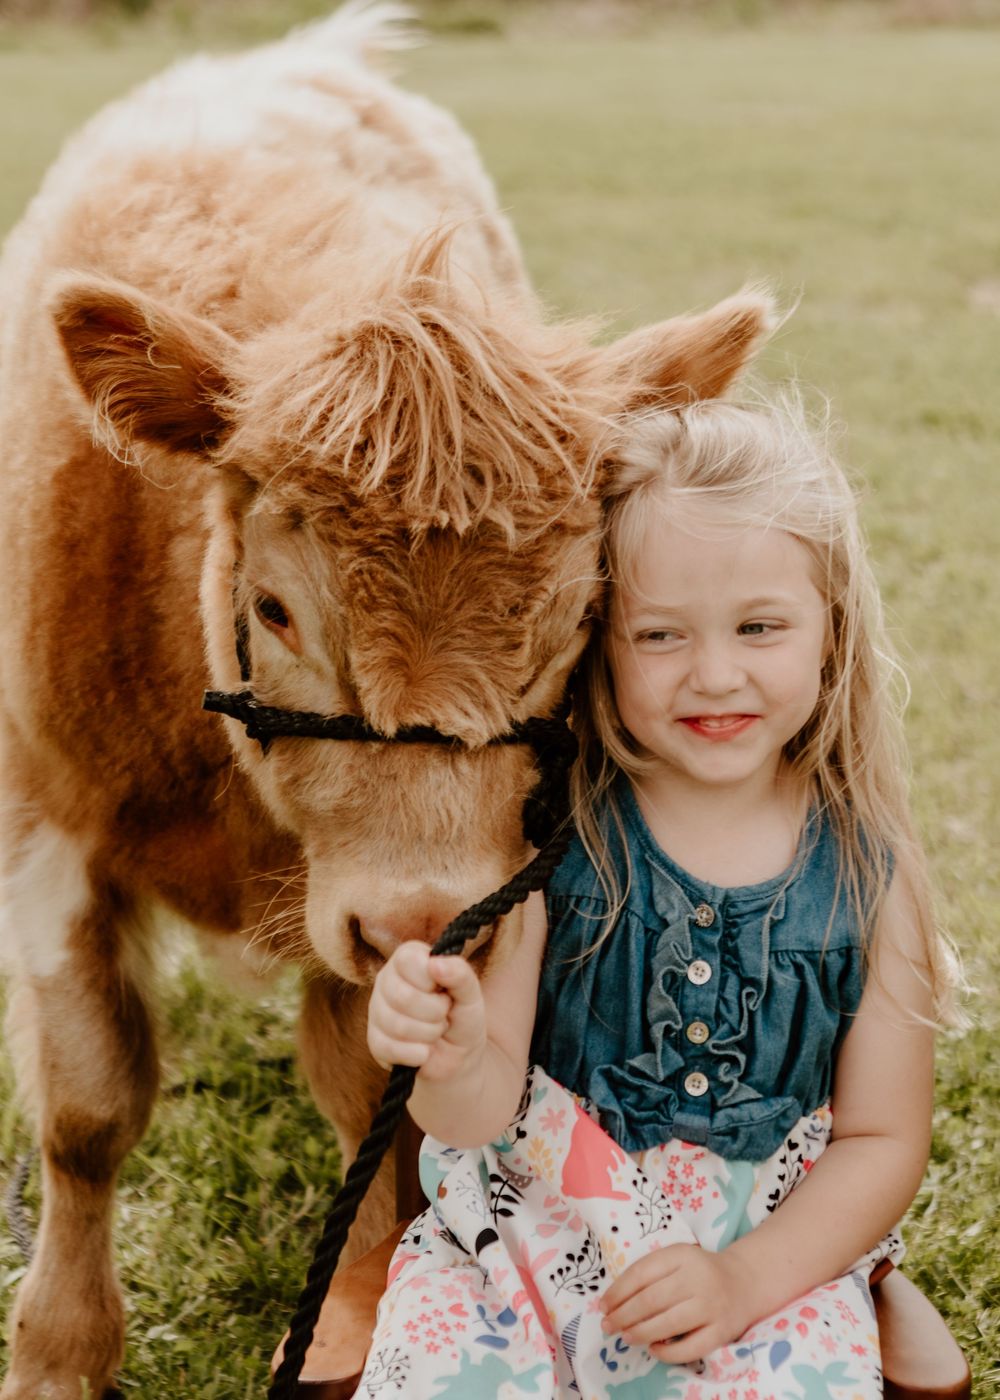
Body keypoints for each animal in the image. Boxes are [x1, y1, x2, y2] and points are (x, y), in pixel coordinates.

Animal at [0, 4, 771, 1394]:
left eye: (580, 618)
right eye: (273, 608)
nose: (420, 912)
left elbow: (369, 1091)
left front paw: (354, 1313)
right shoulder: (46, 821)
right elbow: (87, 1108)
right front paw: (58, 1348)